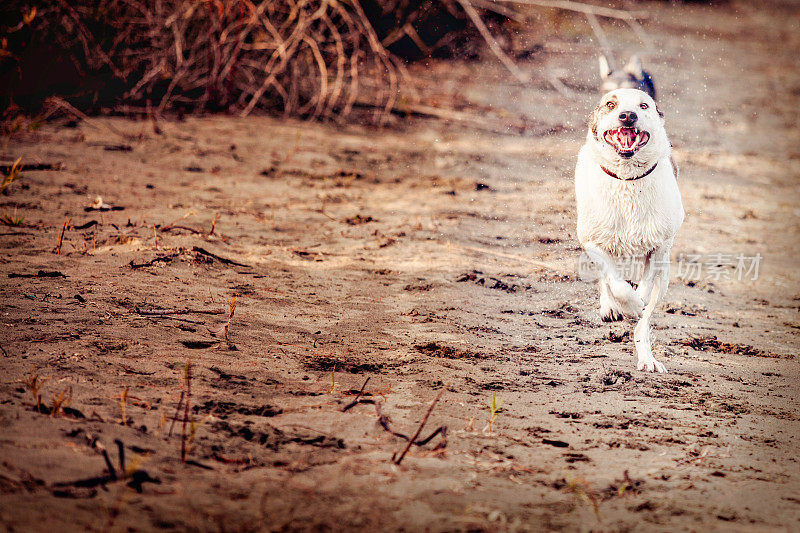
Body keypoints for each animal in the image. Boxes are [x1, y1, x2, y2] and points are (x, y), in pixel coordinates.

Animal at [576, 87, 680, 372]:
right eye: (610, 104)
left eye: (644, 106)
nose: (627, 115)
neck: (627, 180)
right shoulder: (592, 241)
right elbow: (615, 282)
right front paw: (627, 304)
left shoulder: (659, 246)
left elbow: (645, 289)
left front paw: (638, 302)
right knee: (607, 278)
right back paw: (611, 307)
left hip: (665, 275)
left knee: (645, 320)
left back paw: (647, 358)